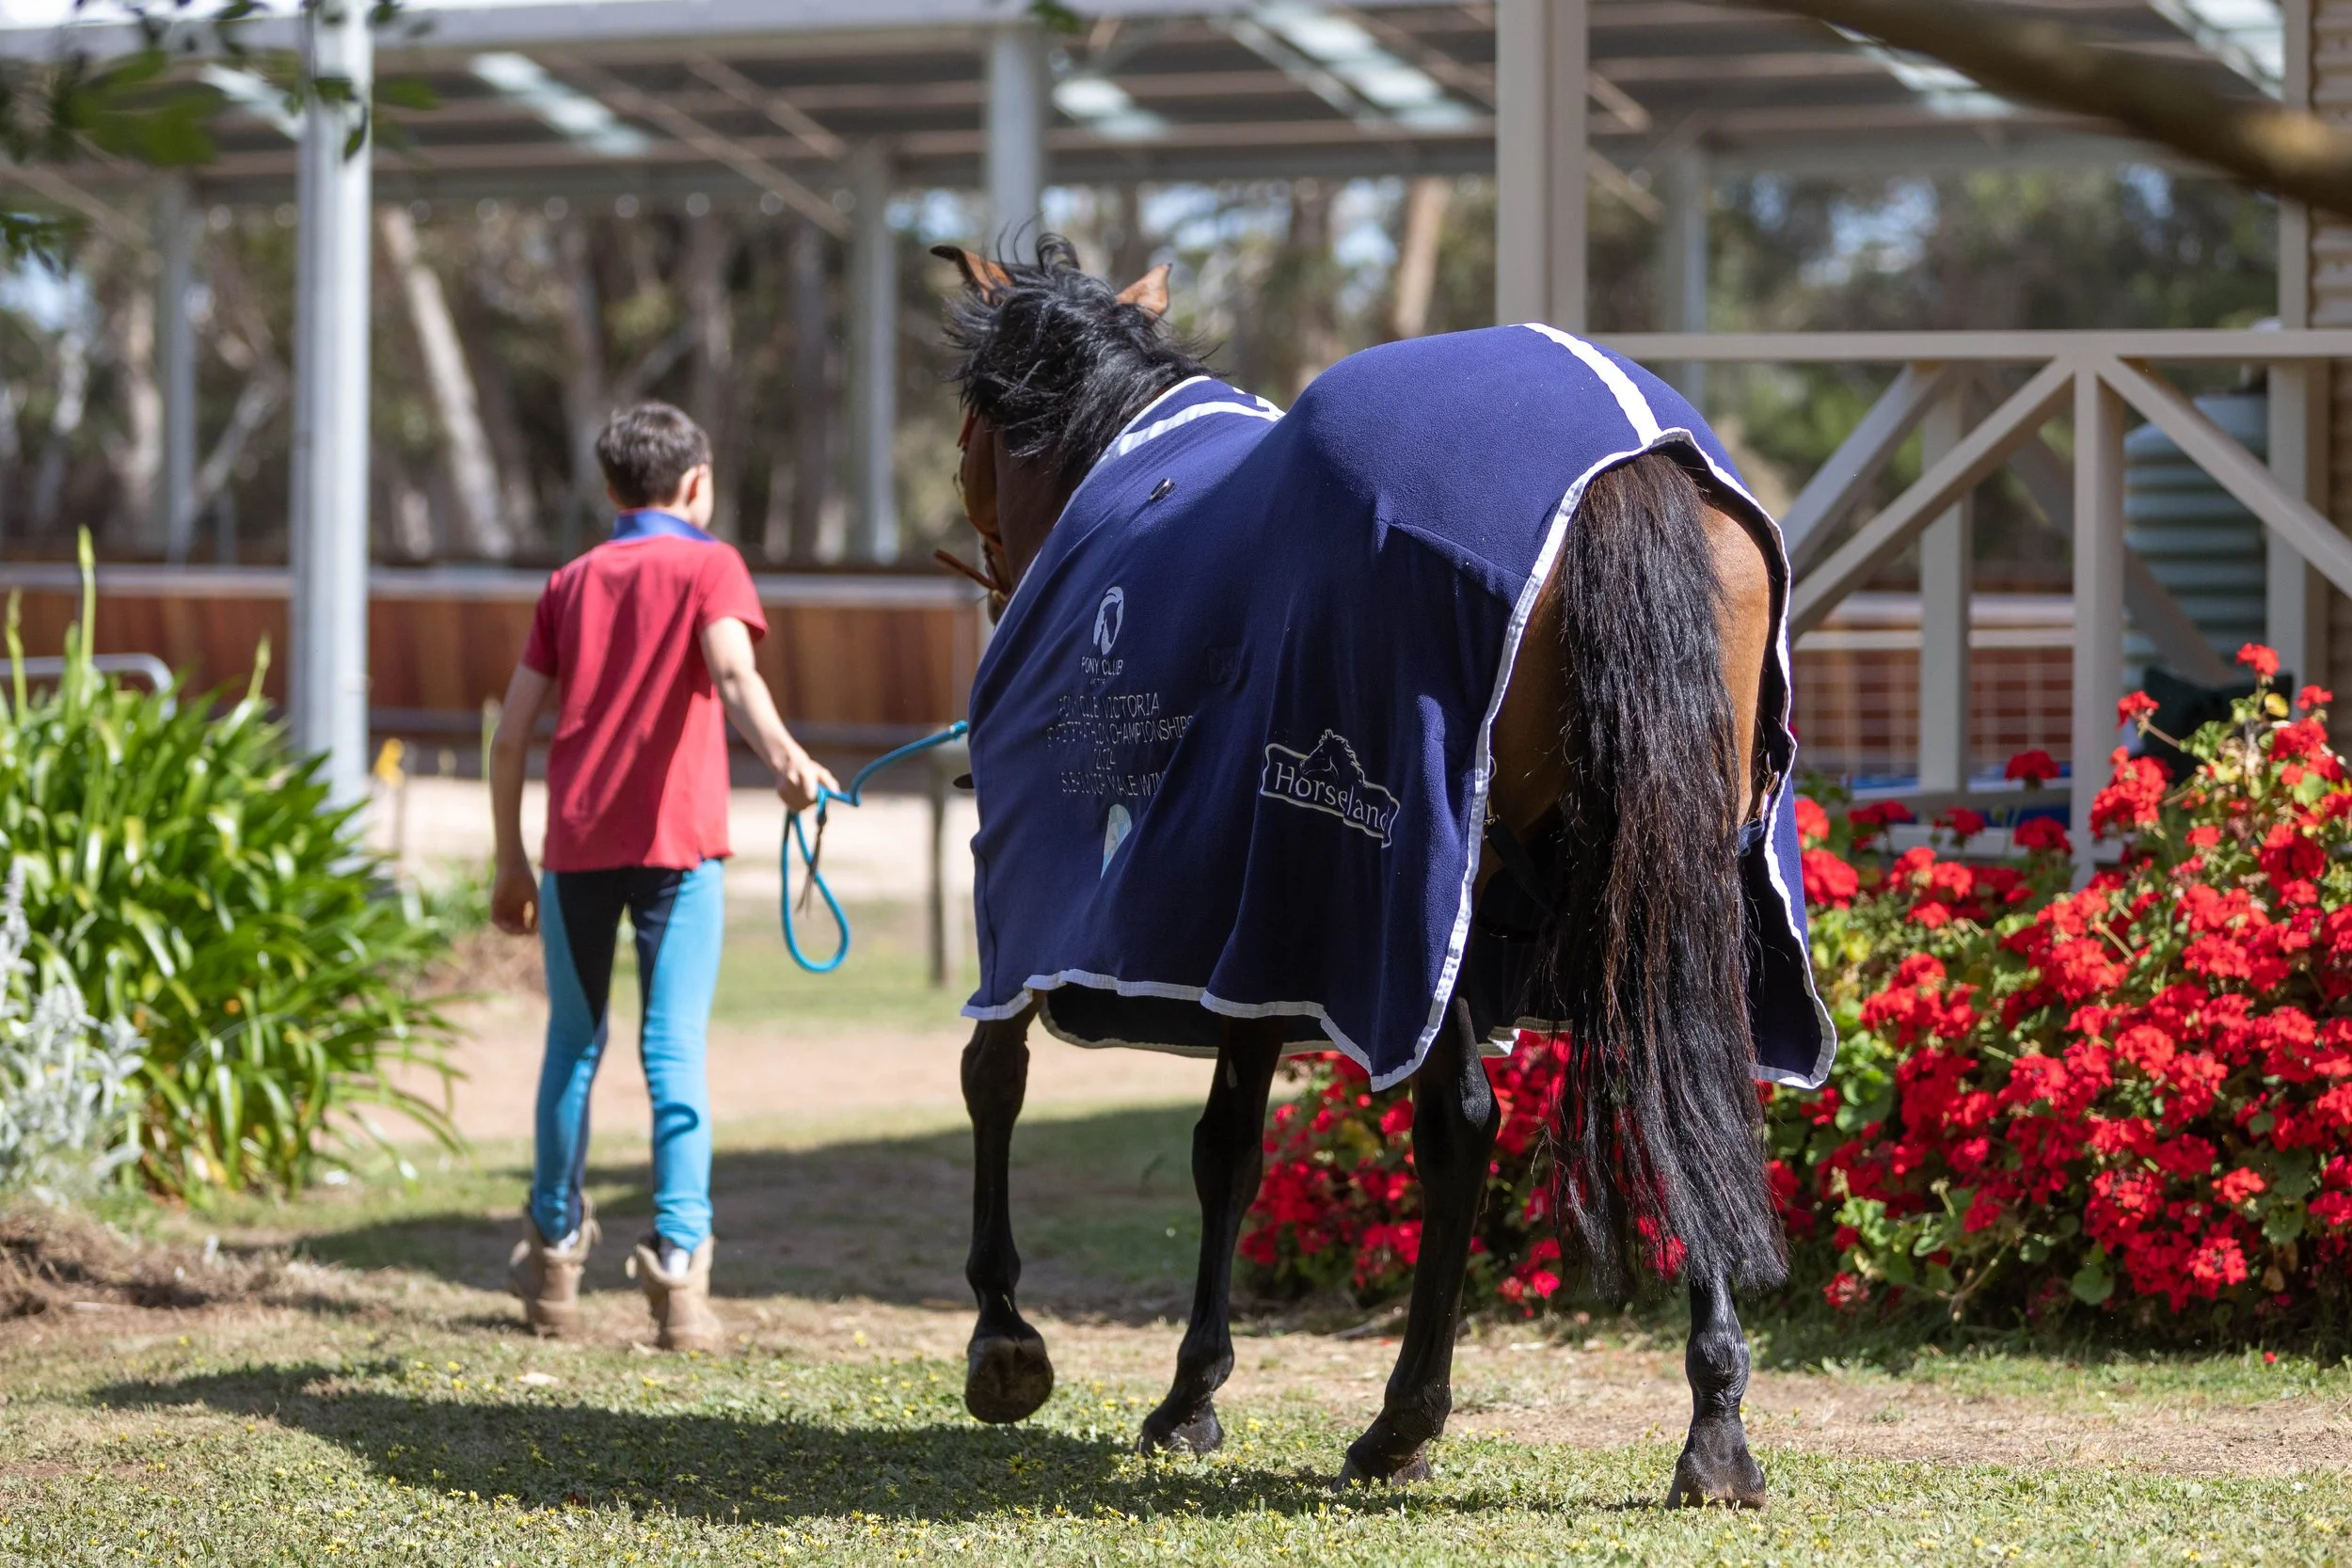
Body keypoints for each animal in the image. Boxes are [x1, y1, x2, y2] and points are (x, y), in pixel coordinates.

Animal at [930, 238, 1833, 1505]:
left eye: (969, 425)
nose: (996, 577)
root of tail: (1631, 451)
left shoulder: (1061, 899)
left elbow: (1003, 1078)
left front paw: (1012, 1337)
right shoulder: (1255, 936)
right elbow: (1230, 1145)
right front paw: (1190, 1390)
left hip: (1421, 880)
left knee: (1462, 1123)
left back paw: (1404, 1418)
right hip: (1665, 872)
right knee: (1685, 1081)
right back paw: (1713, 1429)